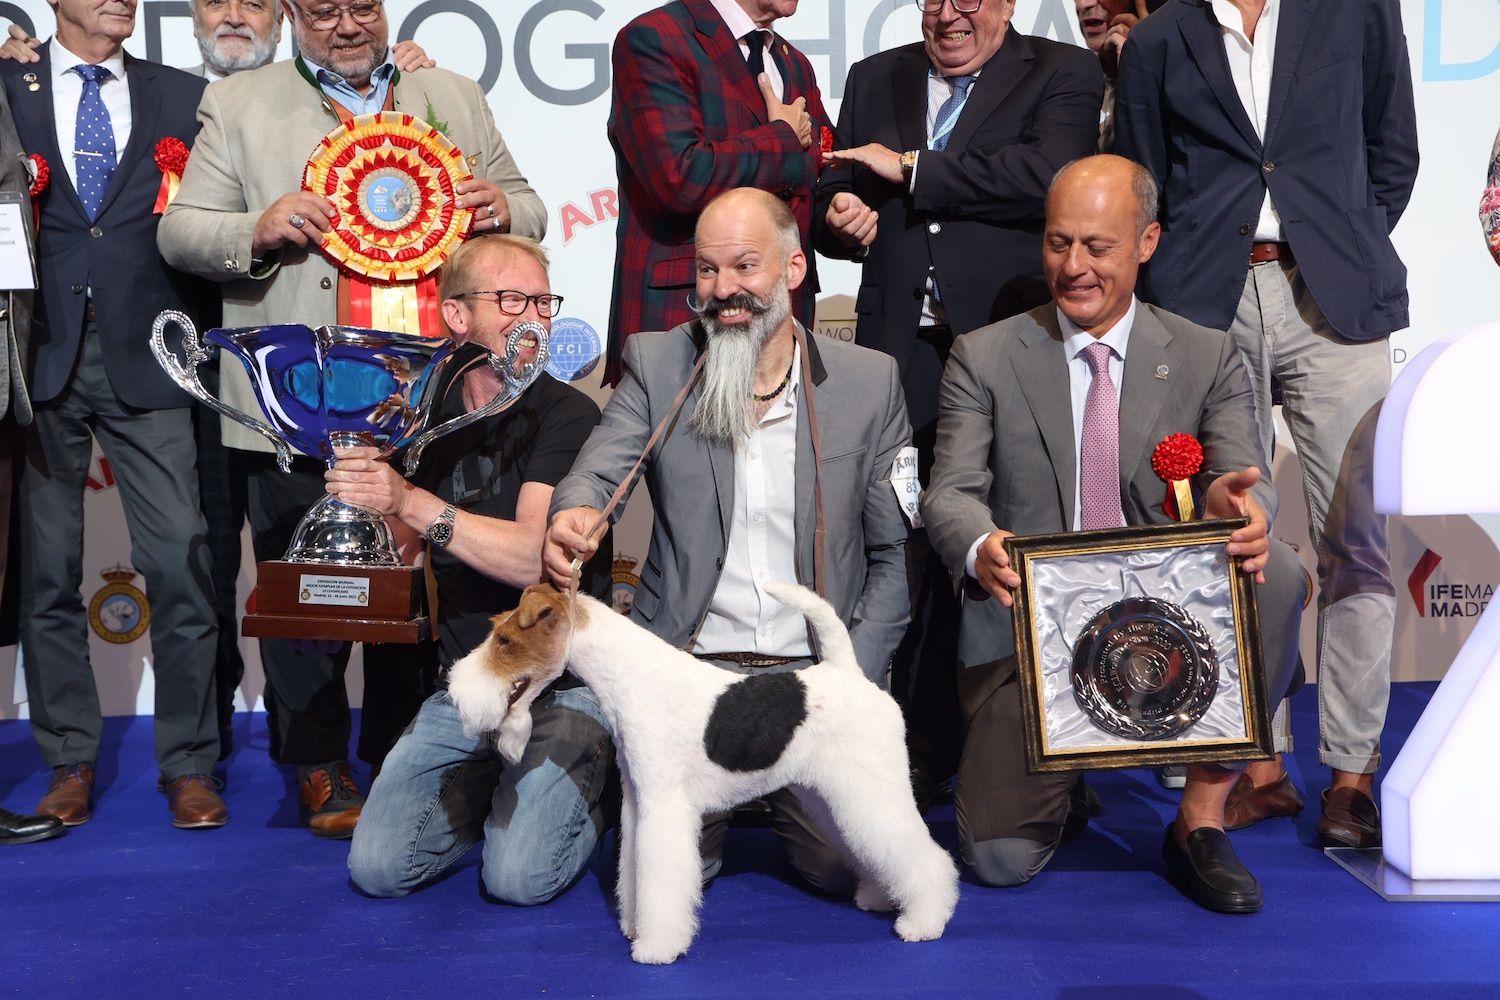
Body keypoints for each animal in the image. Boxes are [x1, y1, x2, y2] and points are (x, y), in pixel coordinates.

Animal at [447, 581, 960, 965]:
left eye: (506, 641)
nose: (454, 691)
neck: (629, 678)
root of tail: (847, 672)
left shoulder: (665, 807)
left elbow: (661, 881)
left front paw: (655, 947)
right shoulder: (639, 802)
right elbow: (633, 869)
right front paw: (633, 924)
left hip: (870, 789)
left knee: (924, 856)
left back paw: (923, 922)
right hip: (832, 797)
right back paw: (880, 897)